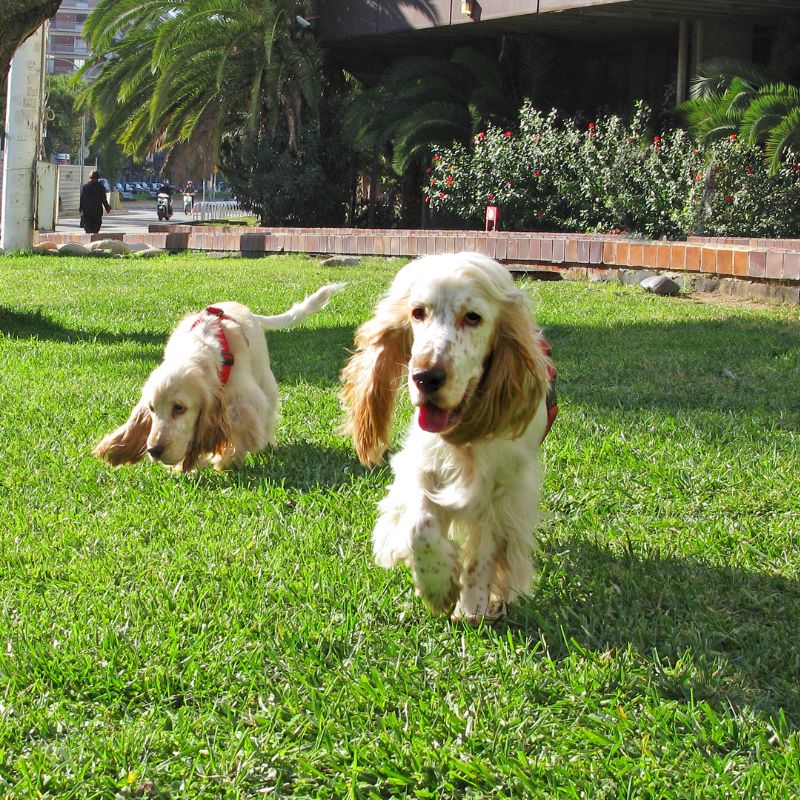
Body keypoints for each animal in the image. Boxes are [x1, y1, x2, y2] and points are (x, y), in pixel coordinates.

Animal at [94, 282, 344, 472]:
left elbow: (238, 430)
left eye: (179, 408)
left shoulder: (241, 399)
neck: (198, 349)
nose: (153, 450)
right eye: (152, 409)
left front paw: (226, 458)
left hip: (265, 379)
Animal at [340, 255, 556, 624]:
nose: (425, 377)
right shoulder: (423, 466)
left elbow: (484, 550)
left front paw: (473, 604)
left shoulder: (502, 489)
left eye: (473, 317)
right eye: (417, 313)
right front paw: (439, 586)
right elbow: (419, 527)